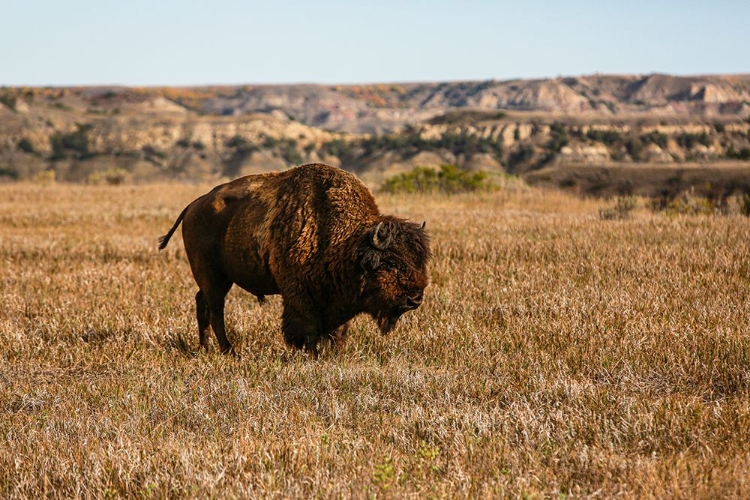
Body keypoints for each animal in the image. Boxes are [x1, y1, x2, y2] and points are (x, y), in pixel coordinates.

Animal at [157, 163, 434, 356]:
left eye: (419, 261)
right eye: (391, 262)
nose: (415, 299)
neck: (344, 241)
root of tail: (193, 205)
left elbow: (338, 330)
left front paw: (336, 354)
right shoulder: (299, 294)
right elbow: (308, 327)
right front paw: (310, 354)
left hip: (220, 278)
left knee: (202, 304)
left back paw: (205, 348)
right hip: (212, 276)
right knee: (215, 310)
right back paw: (230, 351)